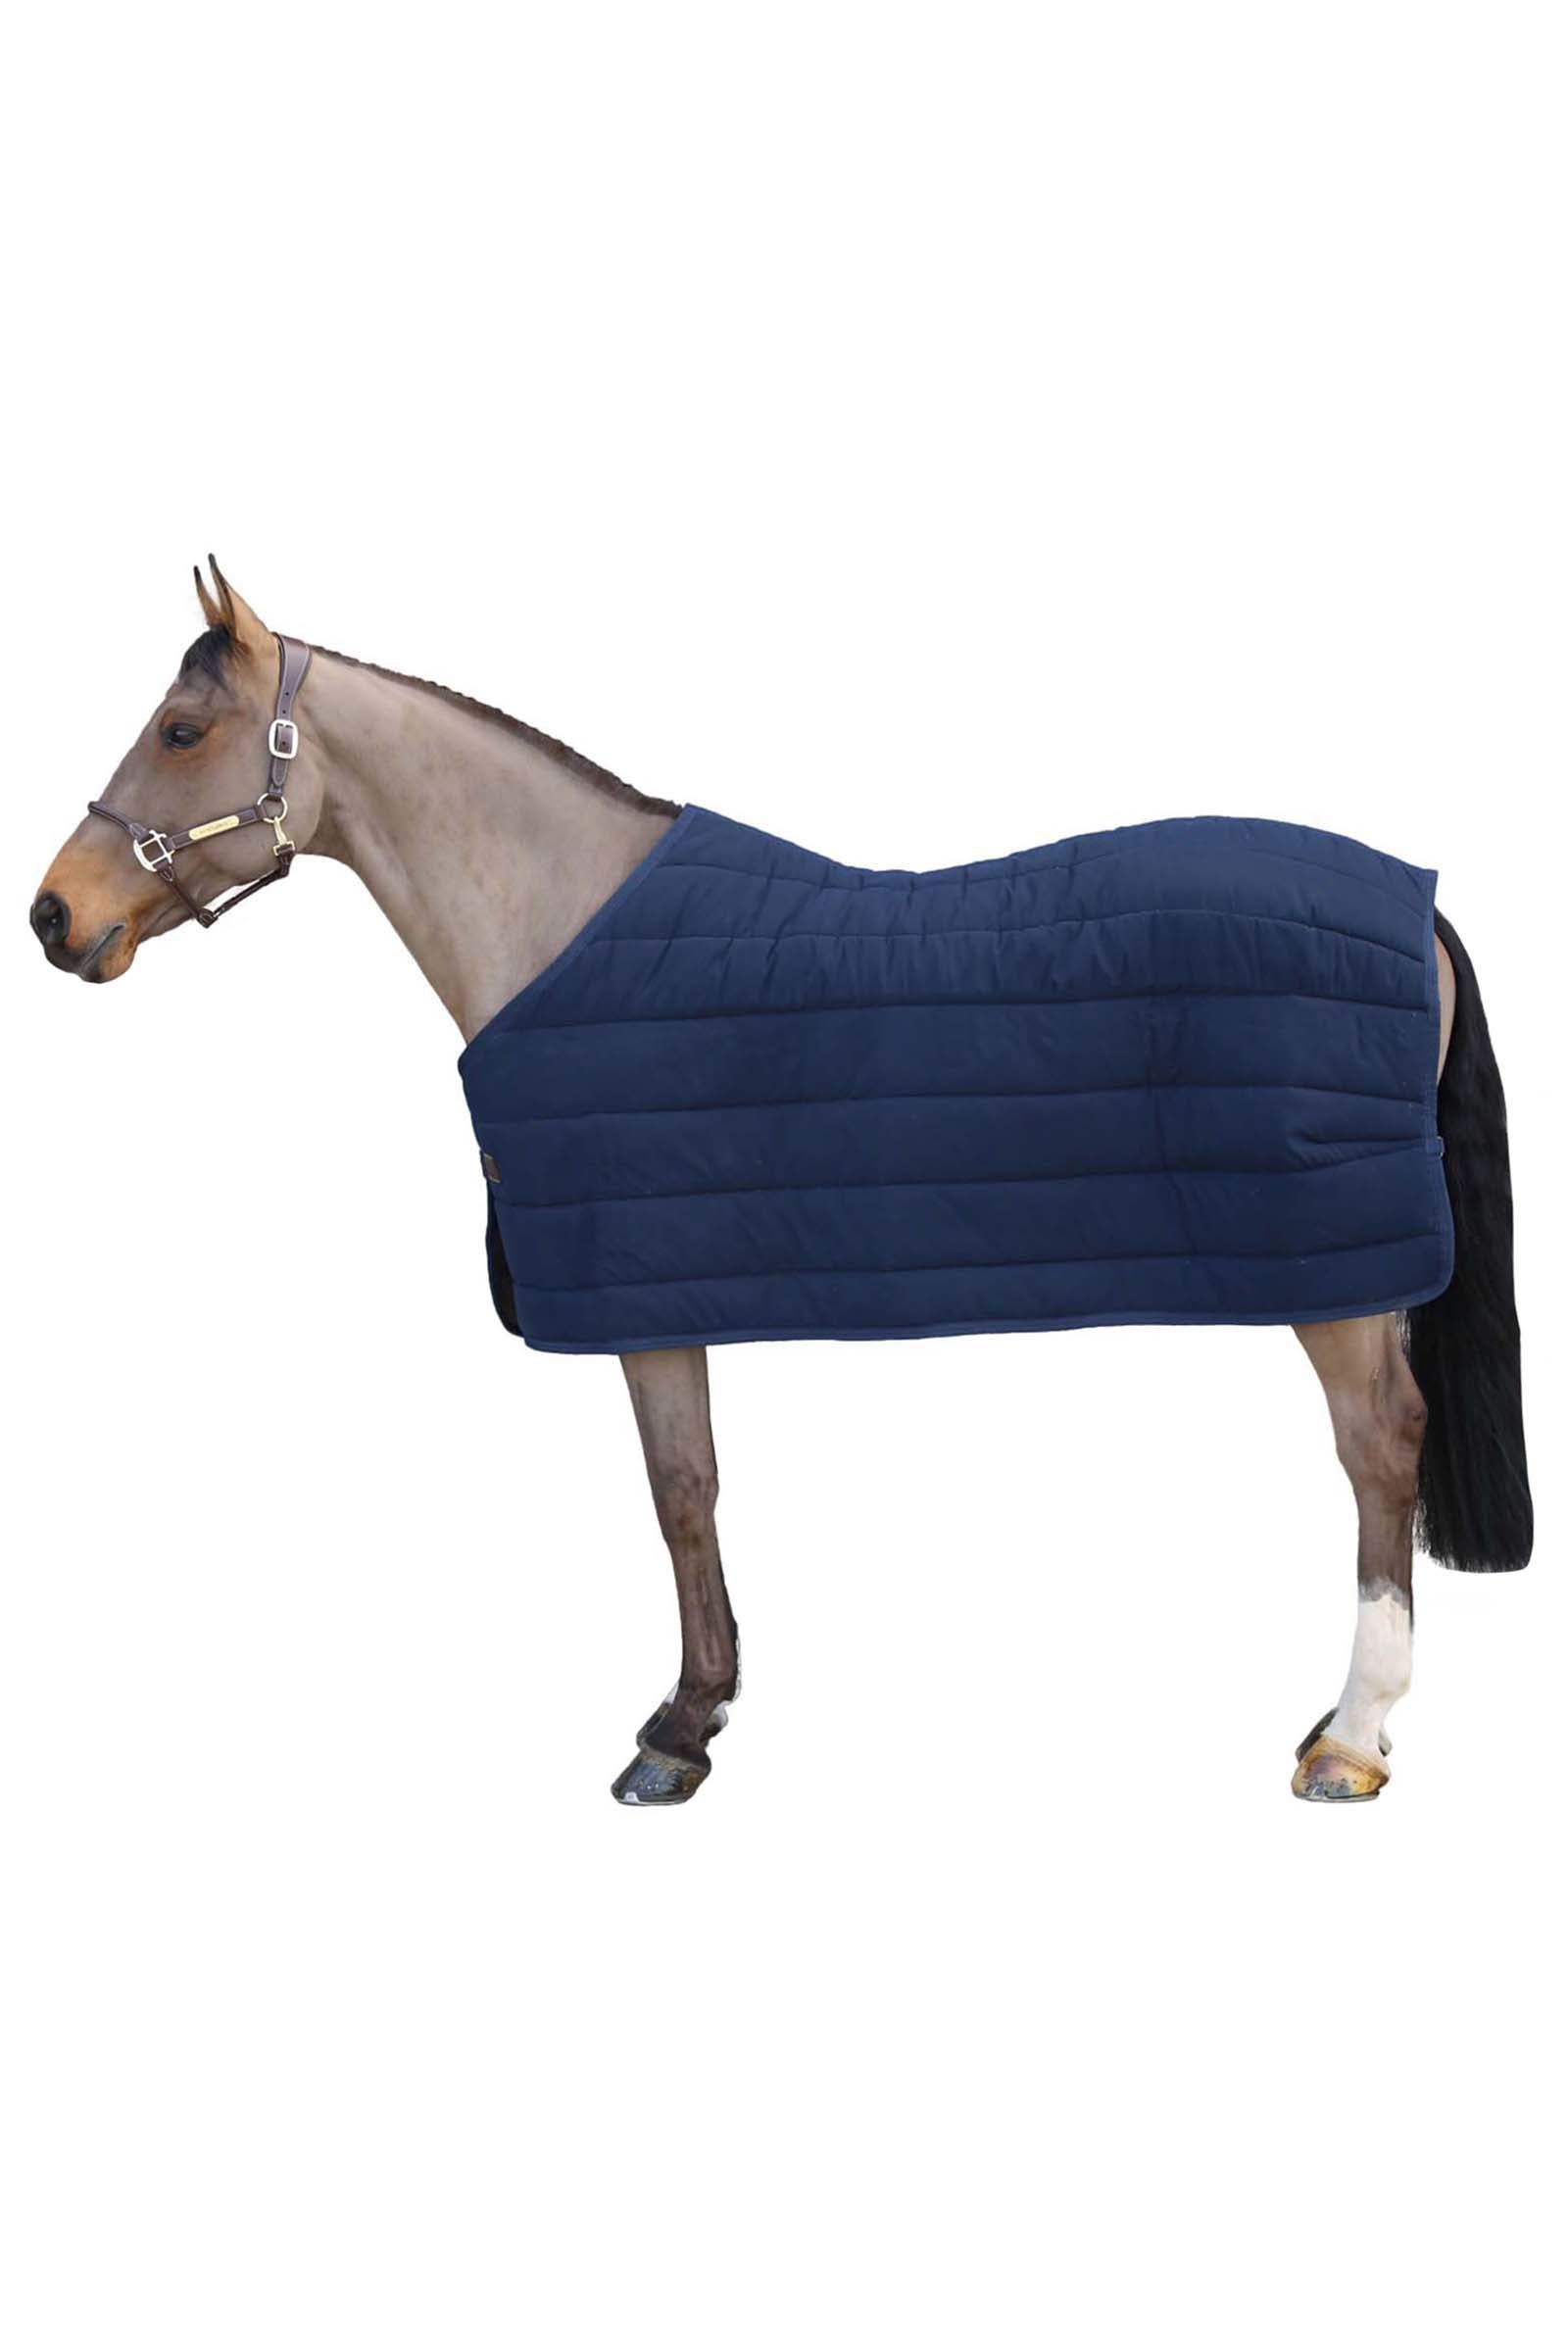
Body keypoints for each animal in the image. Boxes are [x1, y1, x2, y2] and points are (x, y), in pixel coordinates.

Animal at [31, 561, 1532, 1806]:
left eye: (180, 732)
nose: (55, 915)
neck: (566, 926)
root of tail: (1417, 905)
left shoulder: (643, 1297)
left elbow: (678, 1490)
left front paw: (677, 1730)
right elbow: (693, 1488)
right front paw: (703, 1707)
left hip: (1335, 1282)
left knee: (1378, 1446)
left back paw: (1350, 1736)